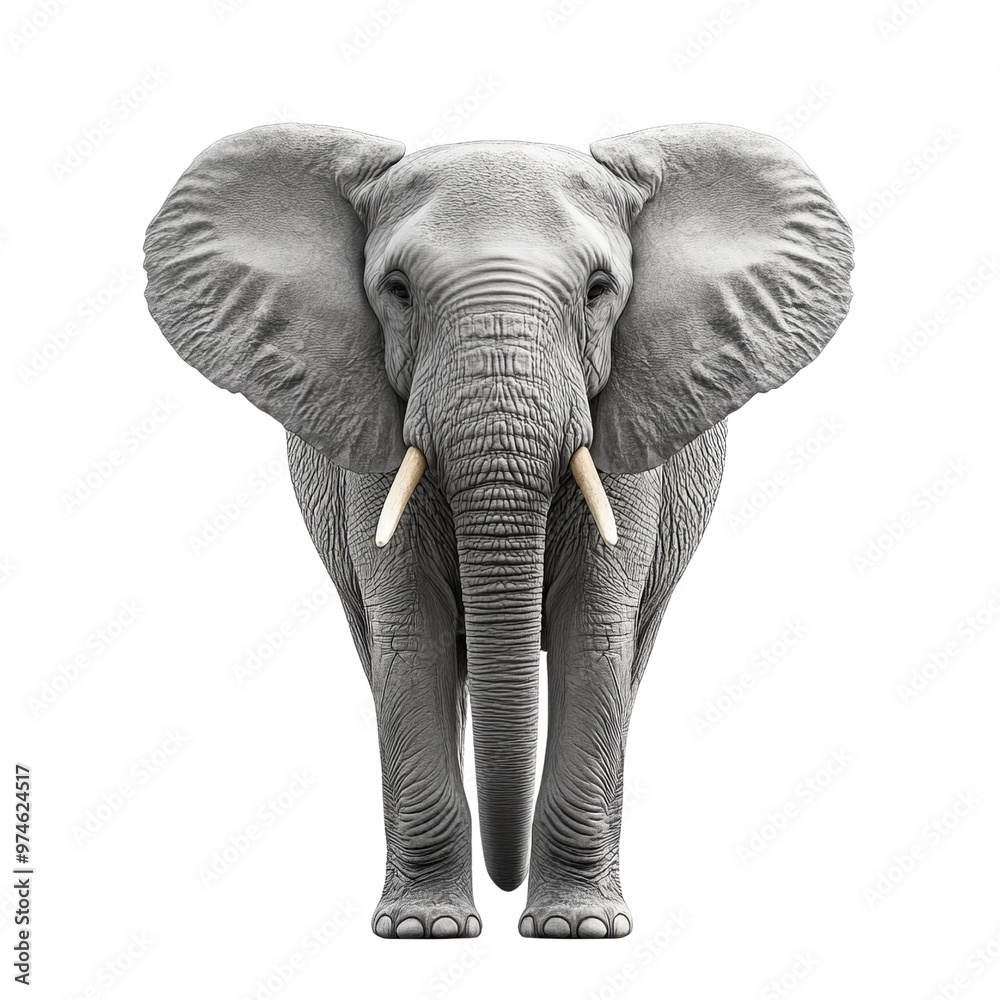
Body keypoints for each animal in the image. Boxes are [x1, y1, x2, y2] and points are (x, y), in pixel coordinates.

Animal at [143, 122, 853, 939]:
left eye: (599, 291)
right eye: (397, 291)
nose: (504, 880)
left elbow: (593, 632)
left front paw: (578, 931)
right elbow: (410, 635)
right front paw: (425, 931)